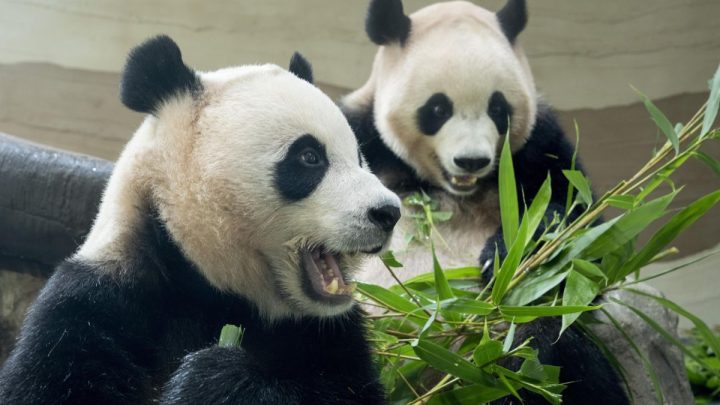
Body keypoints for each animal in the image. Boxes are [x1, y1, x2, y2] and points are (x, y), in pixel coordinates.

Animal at [0, 35, 400, 404]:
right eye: (309, 157)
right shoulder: (97, 303)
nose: (388, 212)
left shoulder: (327, 331)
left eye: (360, 158)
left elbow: (341, 390)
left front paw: (214, 378)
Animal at [342, 0, 630, 404]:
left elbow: (580, 228)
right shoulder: (359, 134)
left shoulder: (540, 146)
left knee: (551, 347)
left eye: (498, 108)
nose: (471, 161)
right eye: (438, 109)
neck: (448, 189)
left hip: (525, 334)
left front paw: (504, 255)